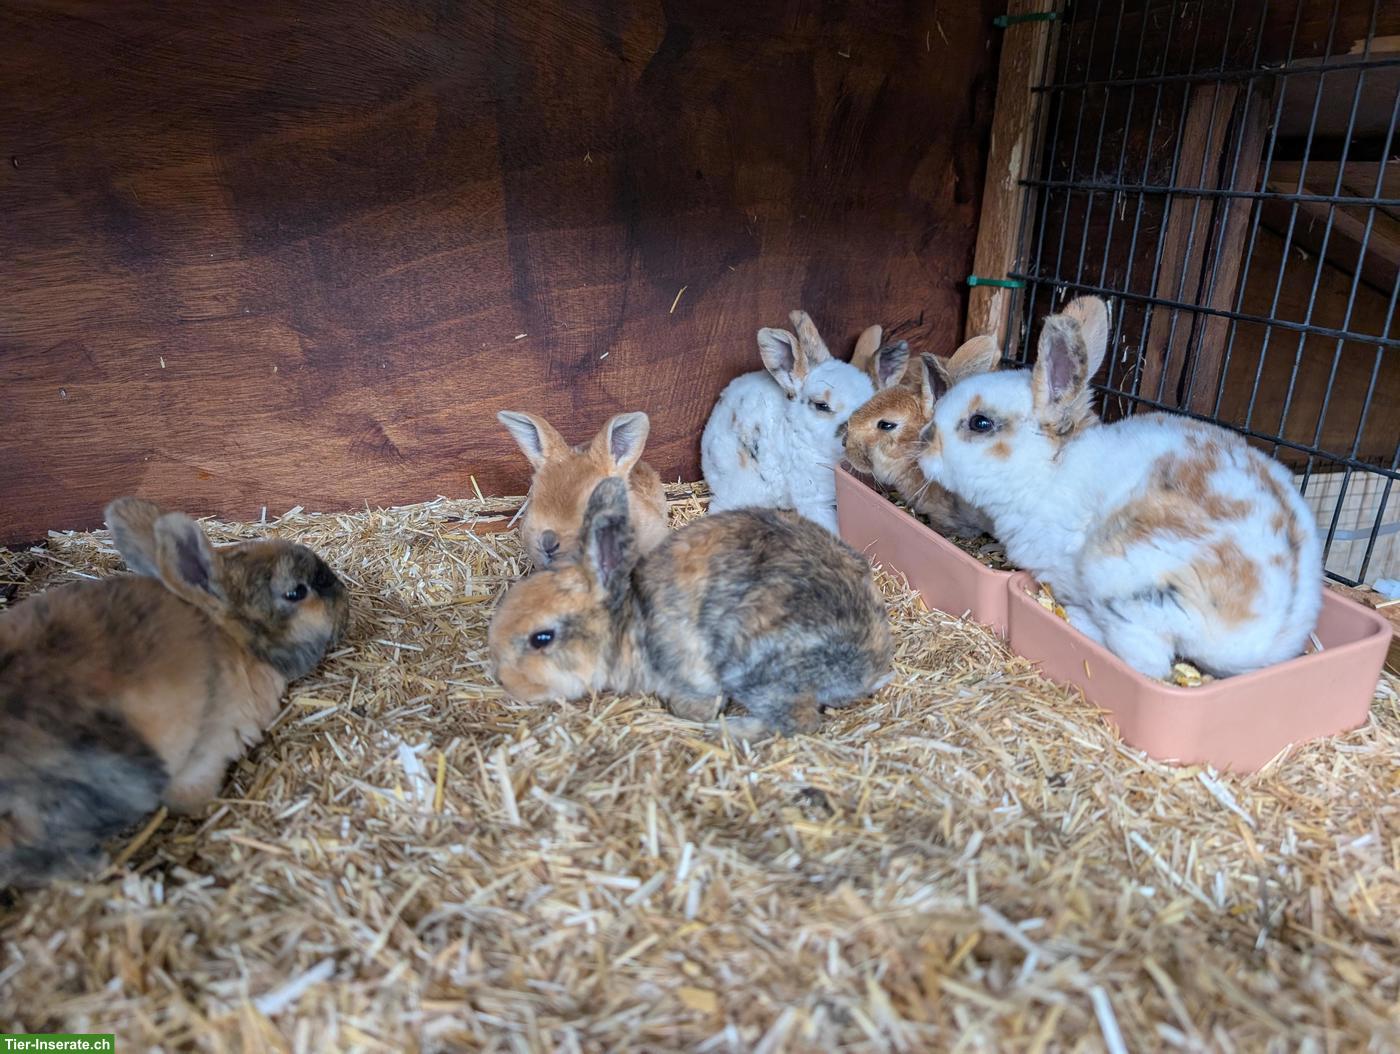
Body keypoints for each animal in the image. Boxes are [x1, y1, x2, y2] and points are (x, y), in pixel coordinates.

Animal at [488, 476, 894, 739]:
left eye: (542, 638)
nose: (505, 681)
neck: (628, 622)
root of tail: (871, 668)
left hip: (756, 665)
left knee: (799, 721)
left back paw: (730, 730)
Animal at [917, 296, 1323, 680]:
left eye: (980, 422)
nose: (924, 443)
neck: (1050, 472)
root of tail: (1257, 636)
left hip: (1125, 585)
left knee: (1146, 663)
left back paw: (1077, 619)